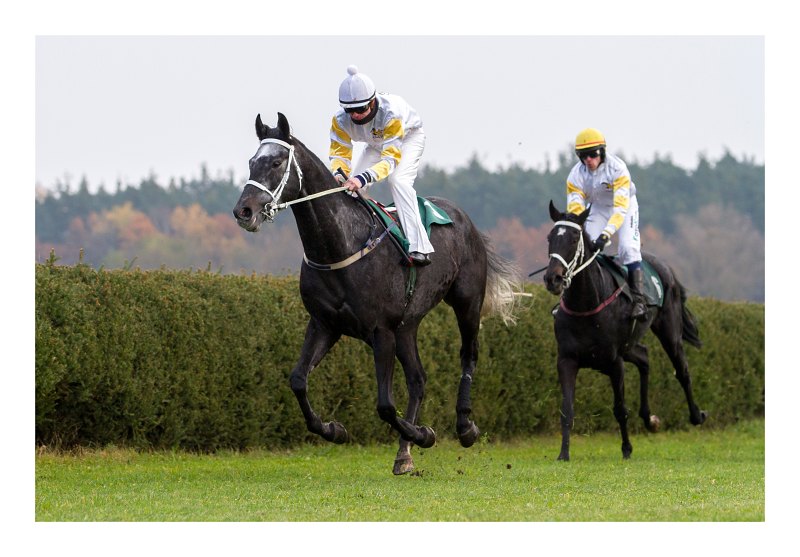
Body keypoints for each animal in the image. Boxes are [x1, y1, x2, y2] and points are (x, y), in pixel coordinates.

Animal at [231, 113, 520, 474]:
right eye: (251, 162)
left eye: (276, 161)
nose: (243, 211)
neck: (340, 246)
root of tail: (463, 218)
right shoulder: (326, 324)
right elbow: (298, 380)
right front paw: (334, 429)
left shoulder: (381, 331)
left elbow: (384, 405)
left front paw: (424, 434)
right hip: (407, 325)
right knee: (418, 379)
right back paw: (404, 453)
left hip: (467, 301)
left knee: (468, 355)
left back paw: (464, 427)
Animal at [544, 200, 708, 460]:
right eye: (550, 237)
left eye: (574, 238)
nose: (553, 279)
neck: (586, 305)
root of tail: (665, 267)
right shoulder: (567, 360)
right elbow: (566, 409)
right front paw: (563, 454)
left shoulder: (614, 362)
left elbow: (620, 409)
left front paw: (627, 448)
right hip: (629, 345)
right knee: (645, 357)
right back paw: (650, 419)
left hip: (669, 332)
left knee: (682, 369)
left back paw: (696, 415)